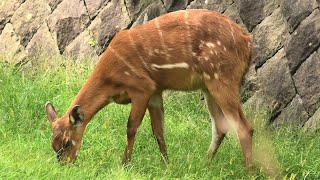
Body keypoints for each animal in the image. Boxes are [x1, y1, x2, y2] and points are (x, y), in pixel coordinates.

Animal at [45, 9, 254, 167]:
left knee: (245, 127)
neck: (111, 79)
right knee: (220, 126)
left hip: (222, 78)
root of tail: (248, 42)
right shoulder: (156, 91)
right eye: (53, 145)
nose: (65, 164)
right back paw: (204, 163)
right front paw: (167, 165)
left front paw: (124, 164)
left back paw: (248, 170)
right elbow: (158, 131)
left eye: (66, 143)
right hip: (208, 86)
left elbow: (131, 127)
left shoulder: (142, 87)